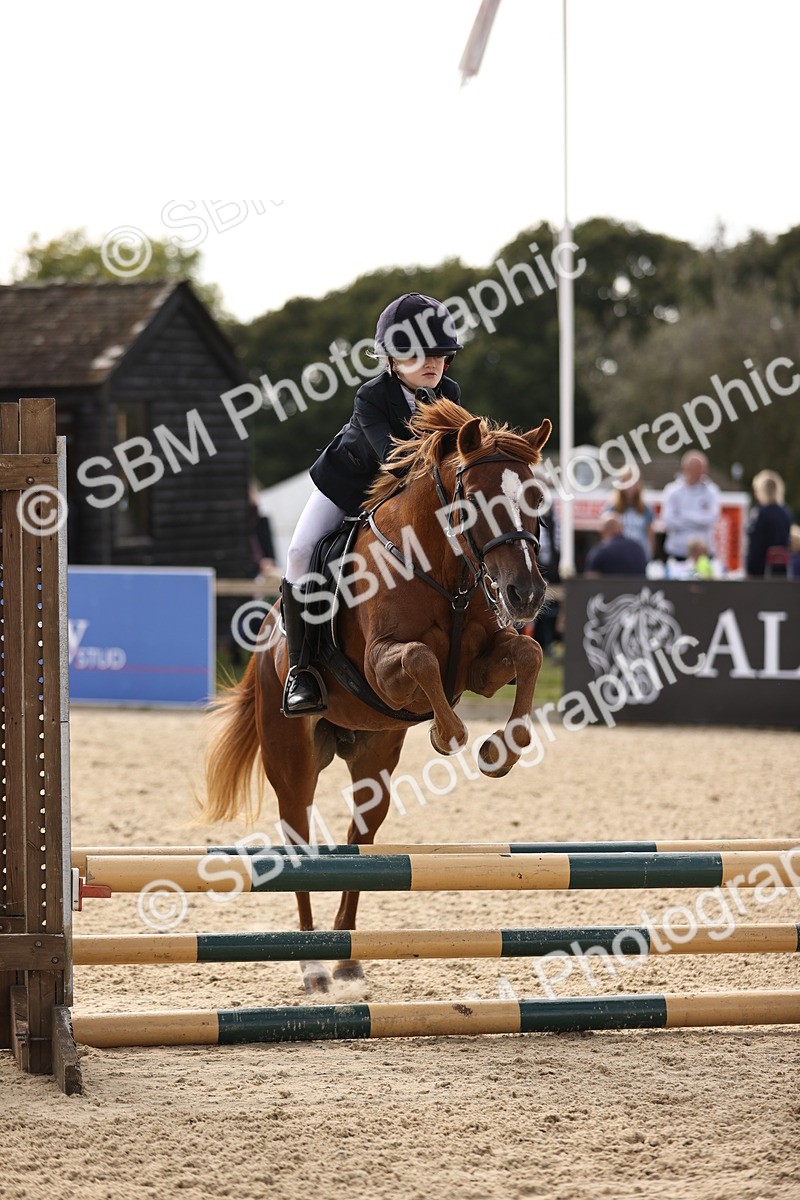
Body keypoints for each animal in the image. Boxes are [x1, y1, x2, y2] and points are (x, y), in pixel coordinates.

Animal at [202, 398, 552, 993]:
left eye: (536, 498)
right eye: (478, 499)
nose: (526, 595)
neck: (443, 567)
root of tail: (264, 645)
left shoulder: (482, 667)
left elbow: (528, 655)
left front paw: (498, 752)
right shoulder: (382, 665)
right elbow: (421, 660)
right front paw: (448, 735)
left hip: (373, 759)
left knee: (358, 843)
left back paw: (345, 956)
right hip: (292, 765)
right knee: (300, 846)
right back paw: (314, 965)